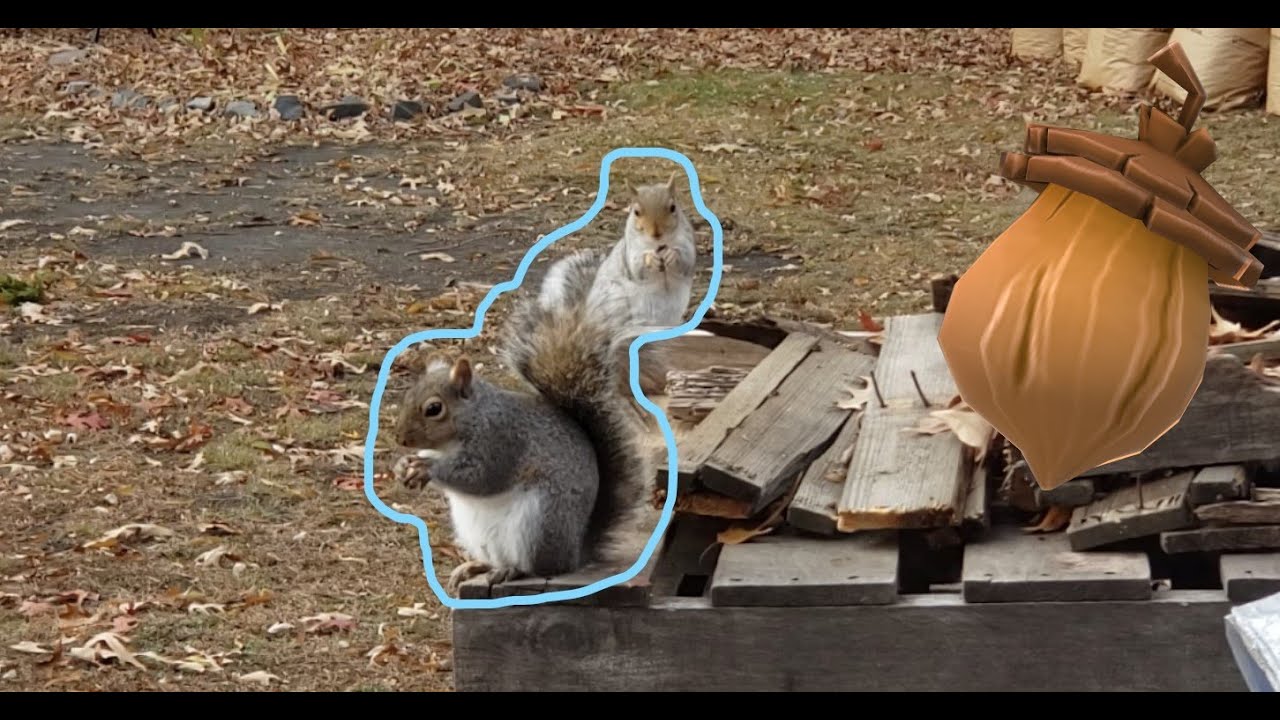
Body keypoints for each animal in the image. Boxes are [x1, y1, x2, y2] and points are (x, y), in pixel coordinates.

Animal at [392, 249, 653, 594]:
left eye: (434, 408)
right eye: (408, 395)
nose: (400, 439)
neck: (472, 418)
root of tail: (575, 554)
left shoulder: (501, 439)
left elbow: (481, 476)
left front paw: (428, 469)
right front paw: (403, 467)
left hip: (539, 522)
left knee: (538, 566)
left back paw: (512, 570)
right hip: (478, 532)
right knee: (496, 558)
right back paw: (476, 566)